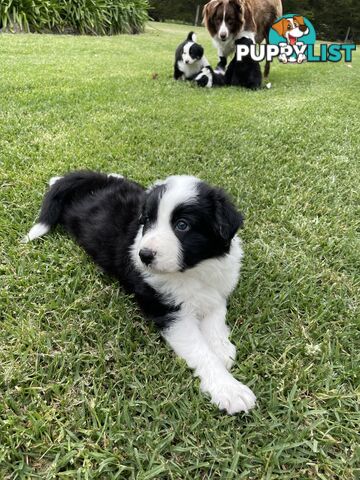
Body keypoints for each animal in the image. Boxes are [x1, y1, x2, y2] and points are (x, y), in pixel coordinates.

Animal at [23, 171, 256, 414]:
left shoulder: (218, 287)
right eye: (146, 221)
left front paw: (222, 348)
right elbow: (201, 351)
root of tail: (97, 182)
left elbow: (216, 316)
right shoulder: (170, 313)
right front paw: (229, 389)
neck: (194, 270)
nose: (144, 255)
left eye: (182, 225)